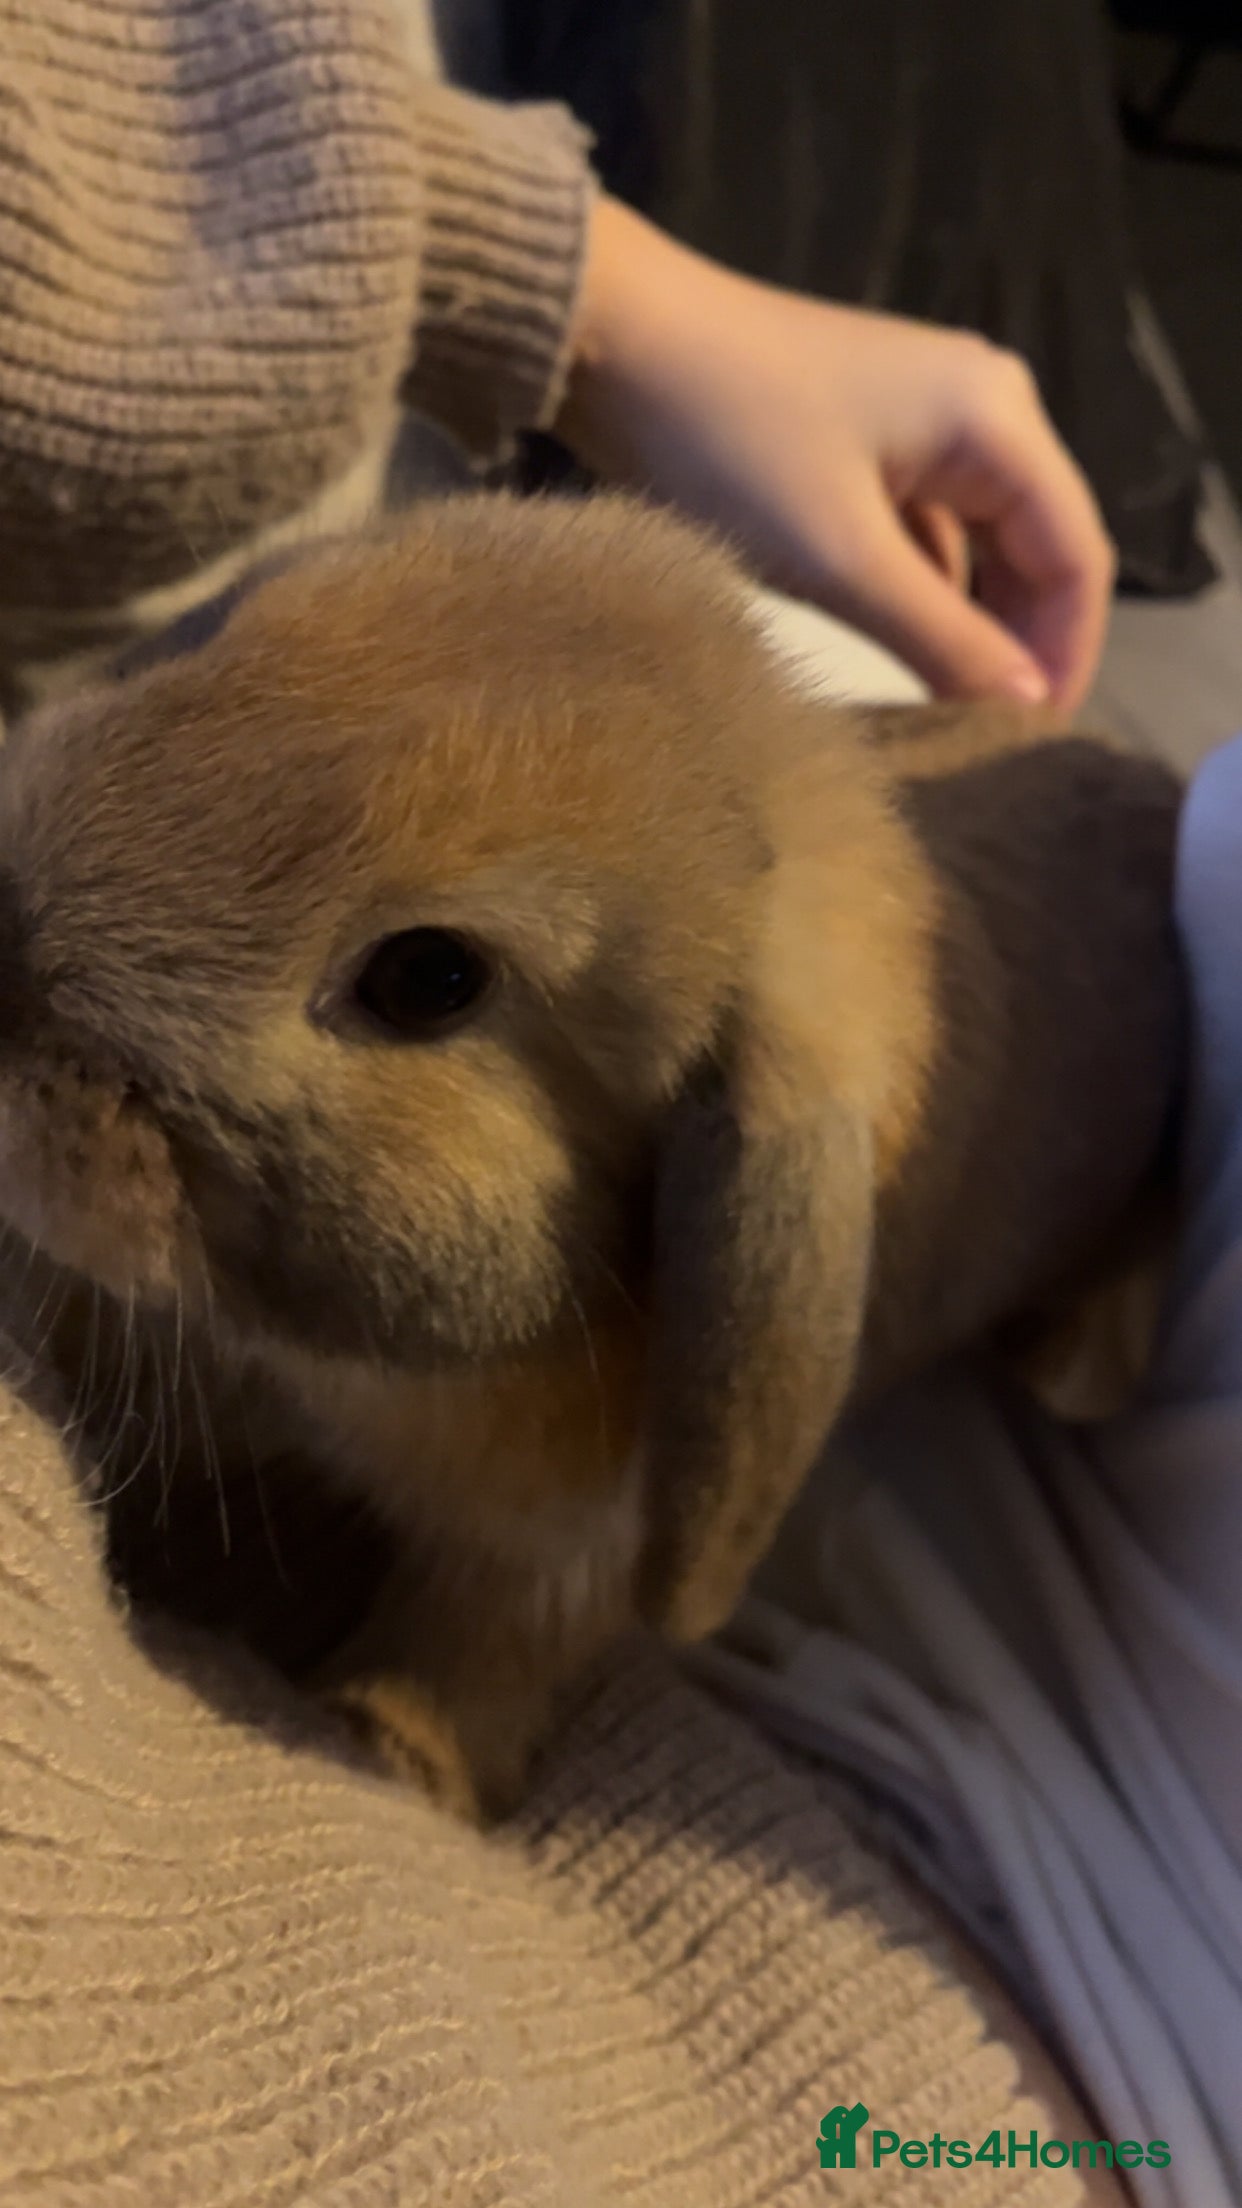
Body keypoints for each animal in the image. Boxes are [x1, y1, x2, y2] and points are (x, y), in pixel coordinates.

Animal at [0, 493, 1184, 1821]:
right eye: (225, 635)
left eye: (430, 979)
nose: (2, 959)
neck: (349, 1376)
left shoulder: (567, 1549)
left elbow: (486, 1649)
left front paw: (388, 1746)